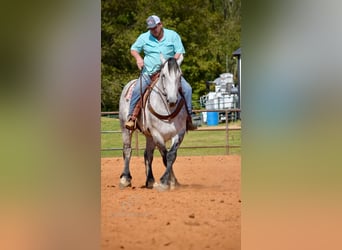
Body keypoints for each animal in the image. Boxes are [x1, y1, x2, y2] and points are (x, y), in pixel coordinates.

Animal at [117, 54, 187, 190]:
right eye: (163, 75)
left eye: (180, 75)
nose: (172, 100)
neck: (167, 110)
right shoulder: (157, 134)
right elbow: (165, 156)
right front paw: (165, 182)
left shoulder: (178, 134)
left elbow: (171, 156)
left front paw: (173, 182)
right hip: (126, 128)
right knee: (127, 150)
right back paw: (125, 179)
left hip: (149, 135)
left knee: (148, 154)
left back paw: (150, 180)